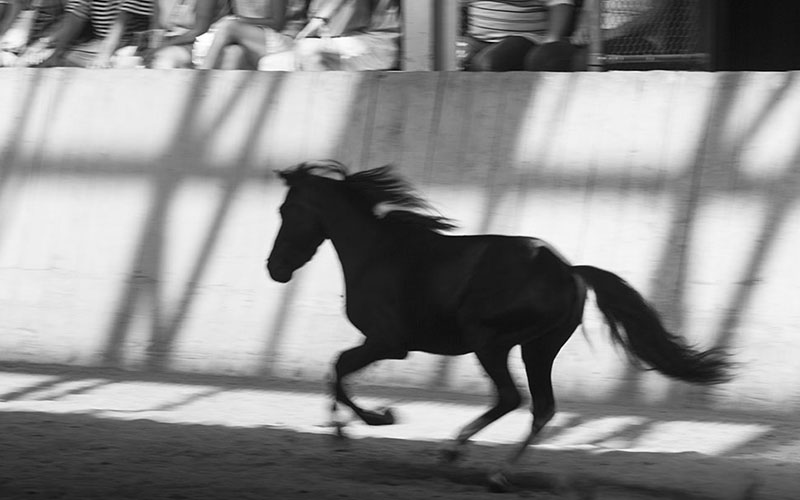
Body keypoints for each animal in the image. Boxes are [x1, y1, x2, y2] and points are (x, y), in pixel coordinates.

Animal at [265, 160, 732, 492]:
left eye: (286, 210)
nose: (275, 269)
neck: (379, 252)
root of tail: (568, 271)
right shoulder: (382, 343)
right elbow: (338, 369)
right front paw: (353, 423)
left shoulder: (387, 342)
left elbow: (338, 368)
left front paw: (371, 420)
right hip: (537, 348)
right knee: (541, 406)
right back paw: (496, 474)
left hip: (490, 343)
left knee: (511, 398)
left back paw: (456, 454)